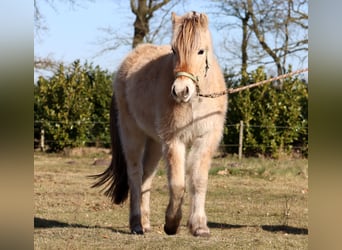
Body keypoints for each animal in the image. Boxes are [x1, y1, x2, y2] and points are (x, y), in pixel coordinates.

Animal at [92, 11, 228, 237]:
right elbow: (178, 184)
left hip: (155, 143)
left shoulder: (205, 139)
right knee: (136, 176)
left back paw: (145, 223)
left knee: (146, 177)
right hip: (133, 135)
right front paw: (171, 223)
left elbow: (198, 180)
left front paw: (199, 226)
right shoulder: (174, 140)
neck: (196, 100)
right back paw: (136, 224)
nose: (181, 91)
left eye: (201, 51)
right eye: (174, 50)